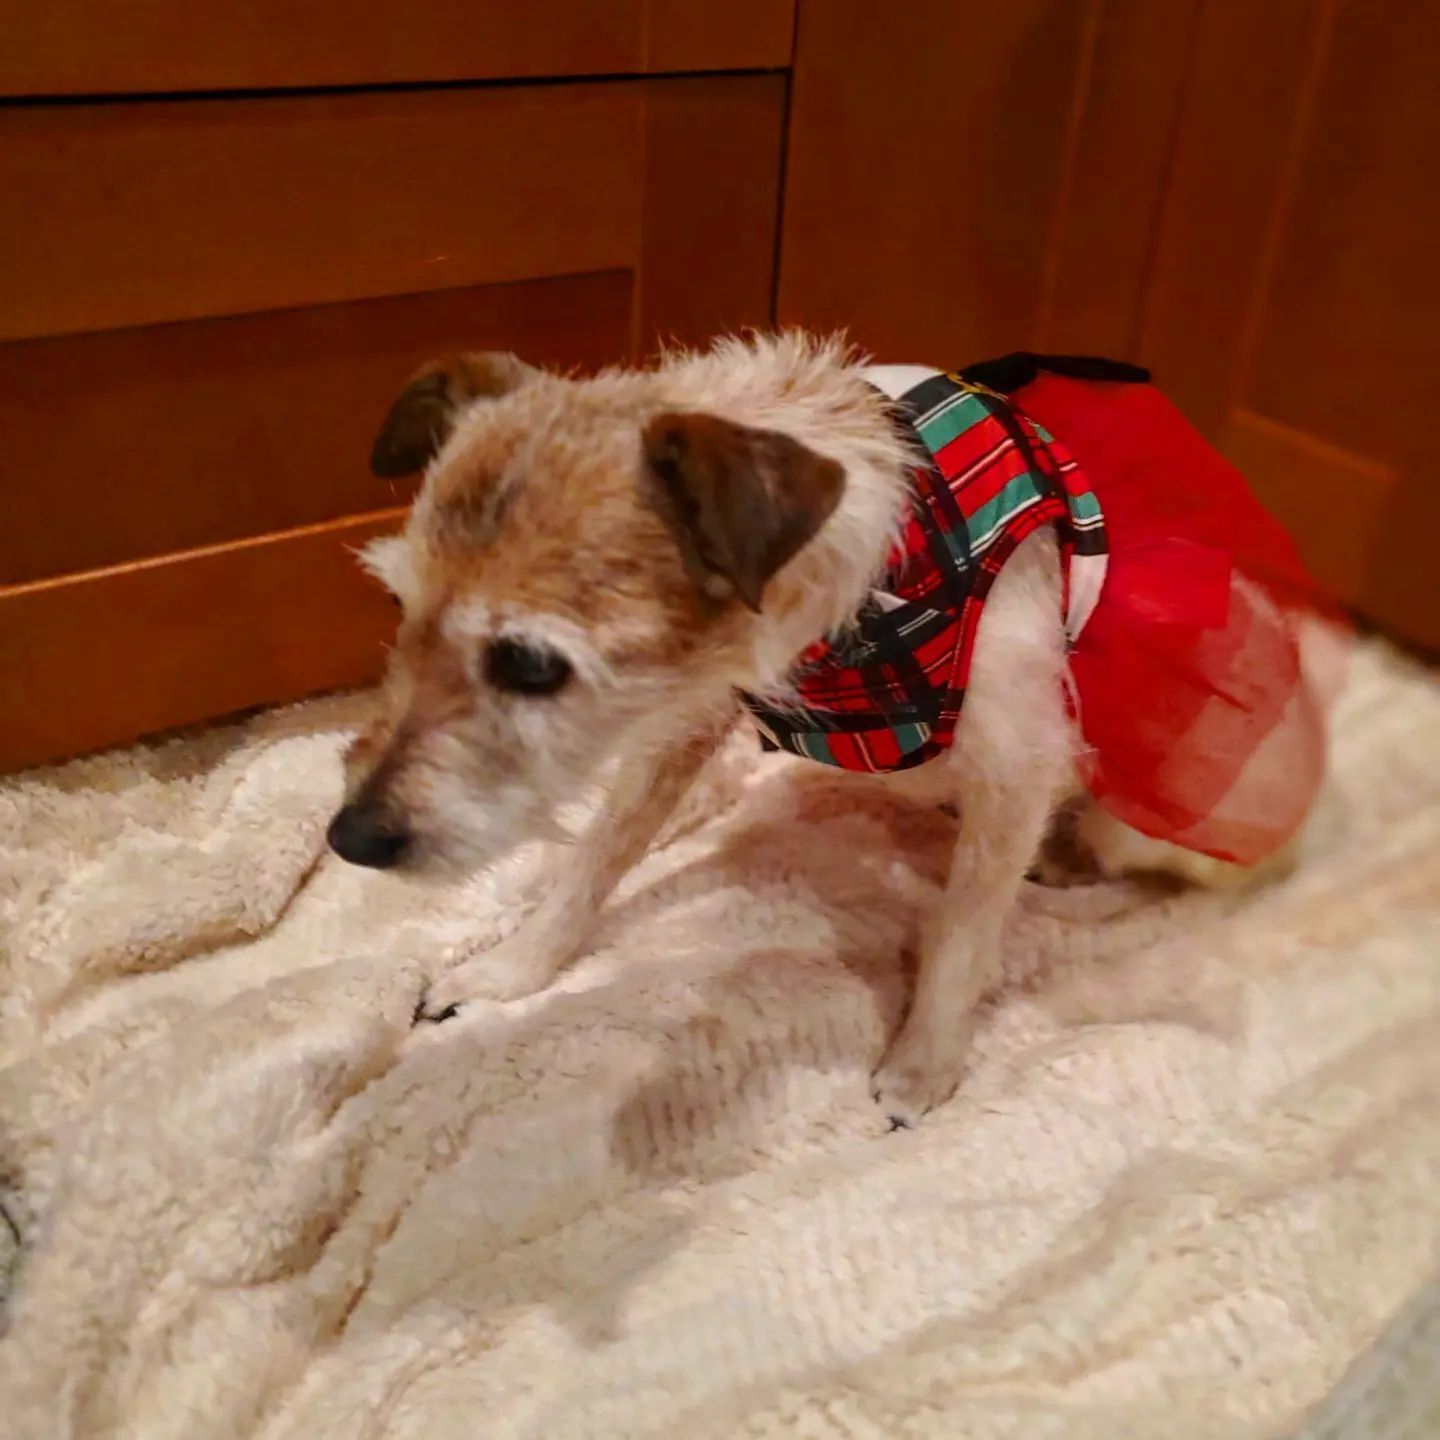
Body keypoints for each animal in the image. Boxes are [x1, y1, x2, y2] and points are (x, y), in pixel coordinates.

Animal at [328, 334, 1336, 1125]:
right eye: (399, 605)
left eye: (531, 665)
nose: (349, 837)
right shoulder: (688, 713)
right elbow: (597, 856)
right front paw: (513, 969)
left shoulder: (1017, 762)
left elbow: (963, 930)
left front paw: (922, 1067)